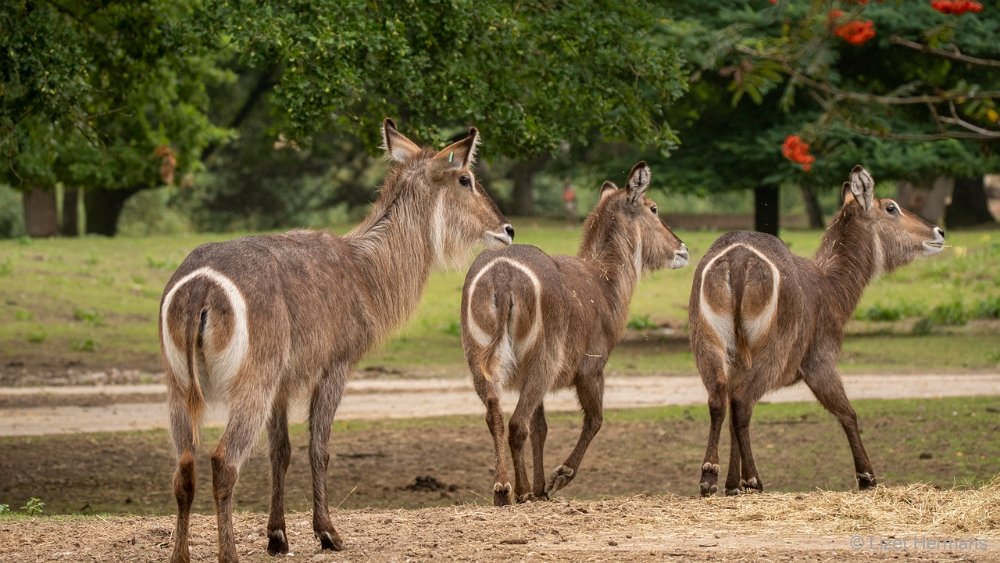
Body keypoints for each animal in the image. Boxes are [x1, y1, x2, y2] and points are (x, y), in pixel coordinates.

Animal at [161, 120, 516, 563]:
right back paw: (229, 554)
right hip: (251, 382)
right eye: (465, 178)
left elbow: (281, 451)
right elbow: (319, 448)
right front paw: (328, 532)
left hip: (179, 385)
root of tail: (201, 286)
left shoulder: (284, 381)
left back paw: (180, 555)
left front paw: (277, 536)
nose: (508, 229)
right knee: (223, 461)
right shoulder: (335, 366)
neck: (366, 269)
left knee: (184, 466)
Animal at [460, 162, 688, 506]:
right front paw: (557, 478)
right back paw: (521, 491)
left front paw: (543, 488)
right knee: (517, 423)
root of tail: (503, 277)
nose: (682, 248)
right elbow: (595, 419)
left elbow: (541, 428)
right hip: (543, 359)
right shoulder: (592, 369)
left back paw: (503, 489)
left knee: (497, 417)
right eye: (654, 207)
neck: (605, 284)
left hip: (479, 358)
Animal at [688, 166, 944, 498]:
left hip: (710, 343)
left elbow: (730, 413)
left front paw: (732, 485)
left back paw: (710, 478)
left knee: (720, 398)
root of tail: (738, 258)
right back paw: (754, 480)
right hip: (773, 351)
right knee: (743, 401)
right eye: (892, 207)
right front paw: (867, 477)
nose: (939, 232)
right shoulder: (820, 361)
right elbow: (848, 412)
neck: (831, 287)